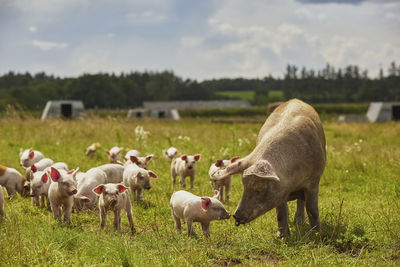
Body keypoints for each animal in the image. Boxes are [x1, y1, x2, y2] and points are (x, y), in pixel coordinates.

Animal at [209, 99, 324, 238]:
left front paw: (317, 235)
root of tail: (296, 100)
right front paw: (281, 236)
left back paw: (299, 222)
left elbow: (312, 209)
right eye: (244, 186)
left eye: (260, 188)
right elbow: (280, 212)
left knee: (301, 202)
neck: (291, 182)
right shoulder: (280, 191)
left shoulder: (314, 180)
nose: (236, 216)